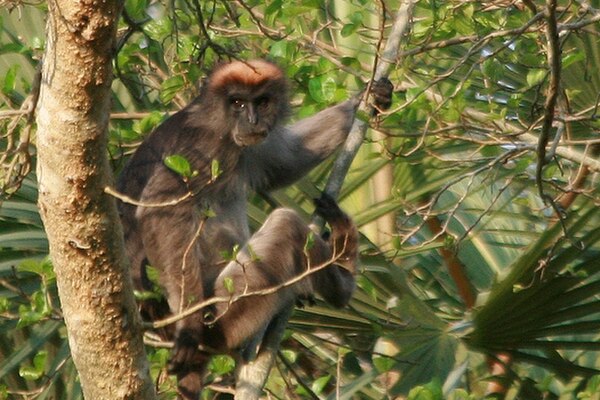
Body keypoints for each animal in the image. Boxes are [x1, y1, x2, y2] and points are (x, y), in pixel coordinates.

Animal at [116, 60, 394, 400]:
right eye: (237, 102)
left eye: (261, 102)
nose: (251, 119)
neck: (219, 123)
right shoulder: (200, 146)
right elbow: (162, 209)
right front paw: (189, 329)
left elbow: (285, 161)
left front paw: (367, 98)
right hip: (226, 312)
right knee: (286, 225)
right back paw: (344, 276)